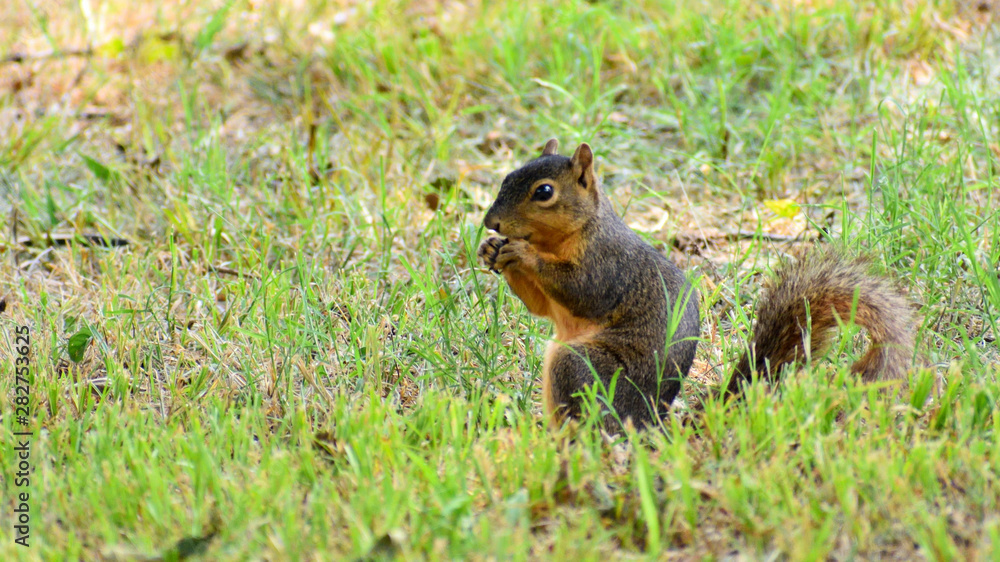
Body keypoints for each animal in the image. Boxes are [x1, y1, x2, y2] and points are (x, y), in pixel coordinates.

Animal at [477, 138, 917, 430]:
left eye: (544, 191)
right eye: (507, 176)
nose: (490, 222)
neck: (566, 237)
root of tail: (648, 423)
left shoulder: (608, 265)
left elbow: (581, 290)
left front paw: (520, 253)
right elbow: (540, 307)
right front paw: (490, 250)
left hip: (584, 368)